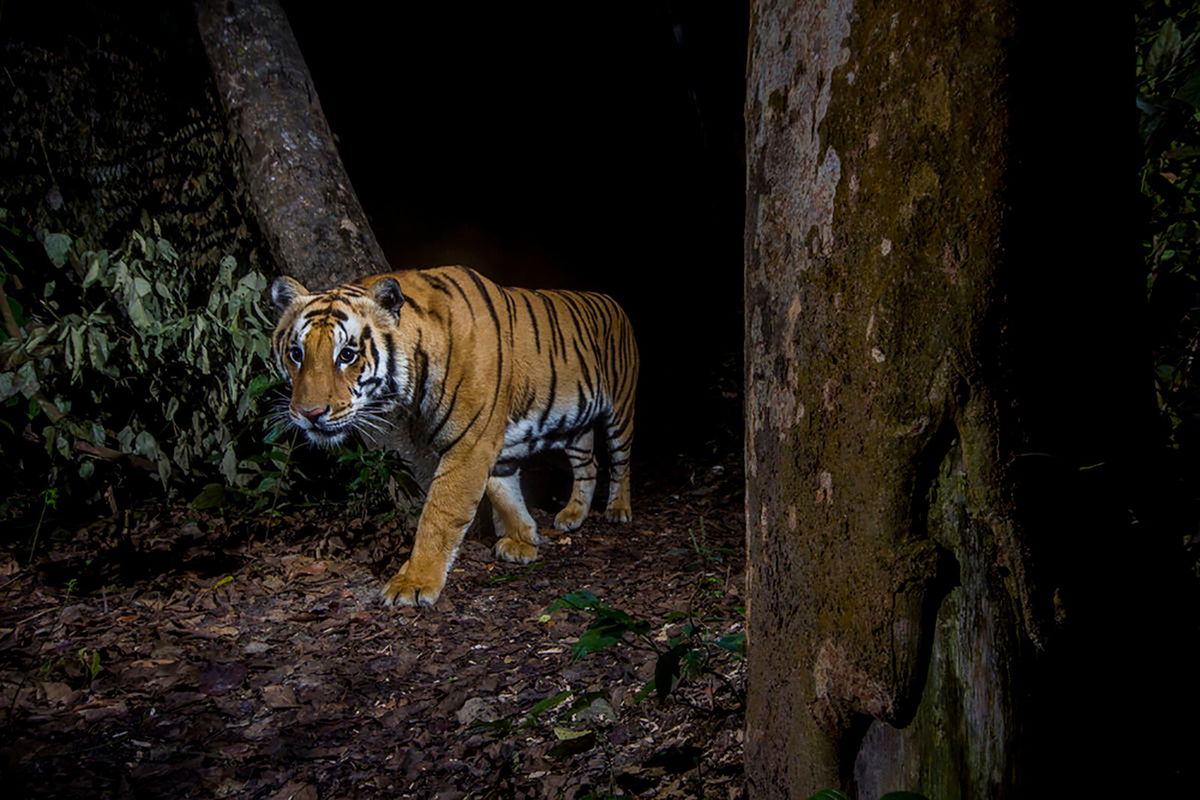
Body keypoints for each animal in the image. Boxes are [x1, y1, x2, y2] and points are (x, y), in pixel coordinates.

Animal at [272, 263, 643, 606]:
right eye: (296, 354)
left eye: (347, 355)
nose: (309, 414)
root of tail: (612, 300)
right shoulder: (492, 444)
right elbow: (504, 492)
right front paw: (523, 539)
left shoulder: (471, 444)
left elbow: (440, 514)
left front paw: (414, 583)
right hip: (575, 424)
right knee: (589, 464)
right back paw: (573, 515)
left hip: (620, 406)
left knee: (621, 460)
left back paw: (618, 510)